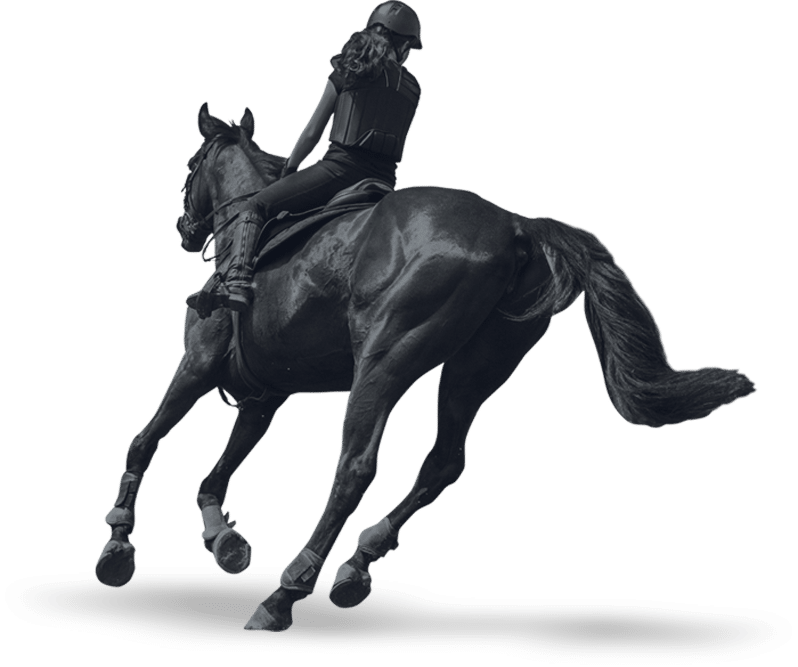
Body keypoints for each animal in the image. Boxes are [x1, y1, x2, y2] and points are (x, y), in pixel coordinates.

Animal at [94, 102, 756, 632]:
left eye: (190, 166)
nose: (184, 229)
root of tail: (516, 225)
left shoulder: (199, 363)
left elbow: (145, 441)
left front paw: (119, 542)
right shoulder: (265, 393)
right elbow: (222, 467)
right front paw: (223, 536)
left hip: (384, 361)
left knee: (355, 467)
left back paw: (288, 591)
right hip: (475, 370)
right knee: (443, 463)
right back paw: (357, 563)